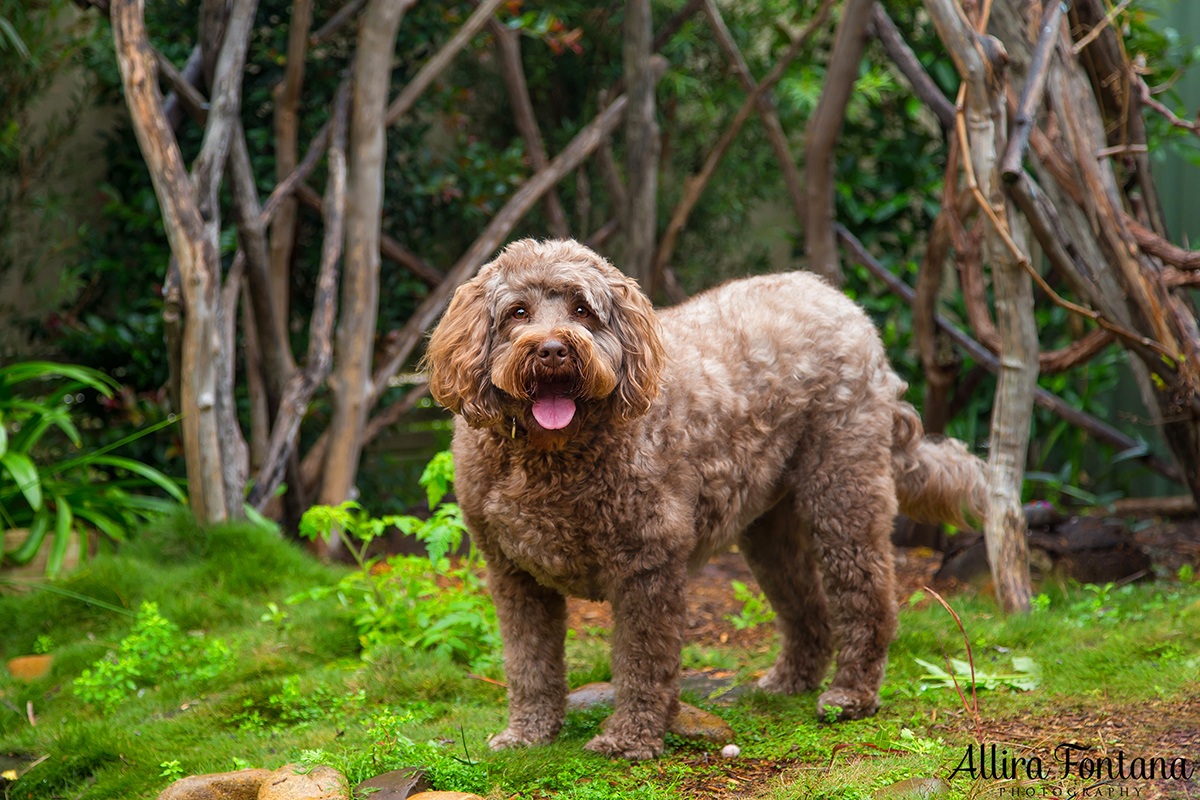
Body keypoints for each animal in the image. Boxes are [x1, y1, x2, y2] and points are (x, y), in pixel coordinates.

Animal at [422, 236, 984, 758]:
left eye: (582, 310)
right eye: (517, 312)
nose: (554, 349)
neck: (554, 454)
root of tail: (839, 299)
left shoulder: (648, 565)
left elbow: (643, 661)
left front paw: (629, 739)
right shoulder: (514, 575)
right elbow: (529, 664)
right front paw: (528, 735)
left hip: (843, 489)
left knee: (867, 597)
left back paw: (852, 695)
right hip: (769, 529)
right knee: (808, 609)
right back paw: (788, 684)